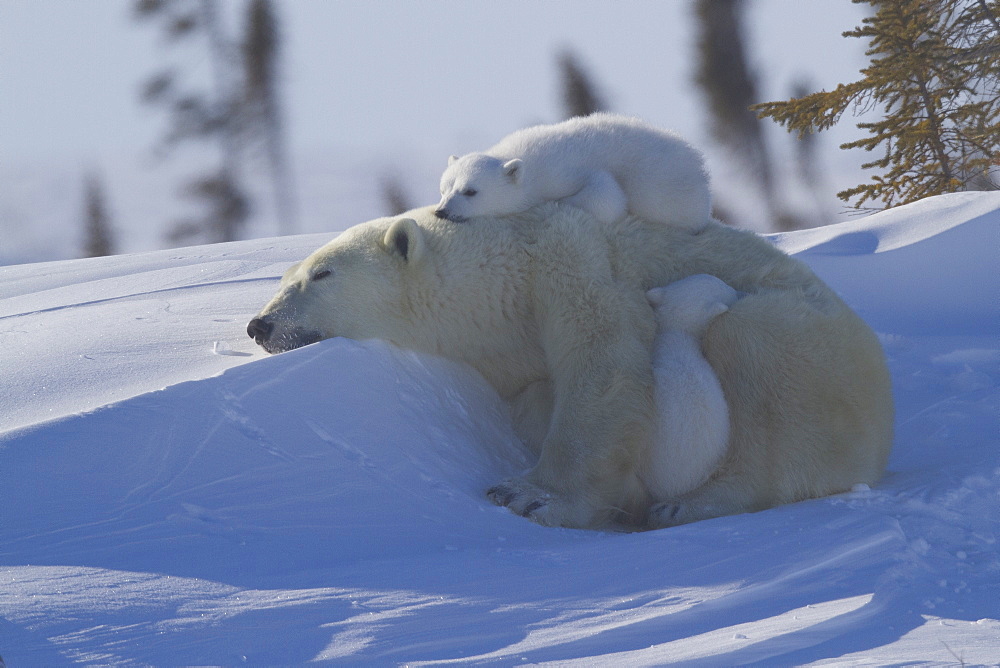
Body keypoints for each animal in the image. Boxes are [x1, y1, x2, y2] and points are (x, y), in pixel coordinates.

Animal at [246, 206, 896, 528]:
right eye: (285, 276)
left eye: (321, 274)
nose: (259, 325)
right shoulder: (512, 361)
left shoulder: (568, 261)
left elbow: (601, 360)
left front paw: (530, 495)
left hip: (817, 349)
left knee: (755, 350)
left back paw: (691, 503)